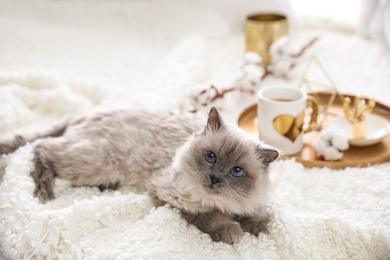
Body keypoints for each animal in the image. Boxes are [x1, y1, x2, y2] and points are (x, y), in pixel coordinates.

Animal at [0, 105, 280, 244]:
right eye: (210, 156)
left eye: (236, 171)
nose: (214, 179)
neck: (221, 201)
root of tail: (85, 113)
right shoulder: (168, 193)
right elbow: (206, 216)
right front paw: (229, 231)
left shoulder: (243, 202)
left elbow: (252, 214)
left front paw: (261, 226)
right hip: (98, 161)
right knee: (41, 147)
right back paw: (44, 193)